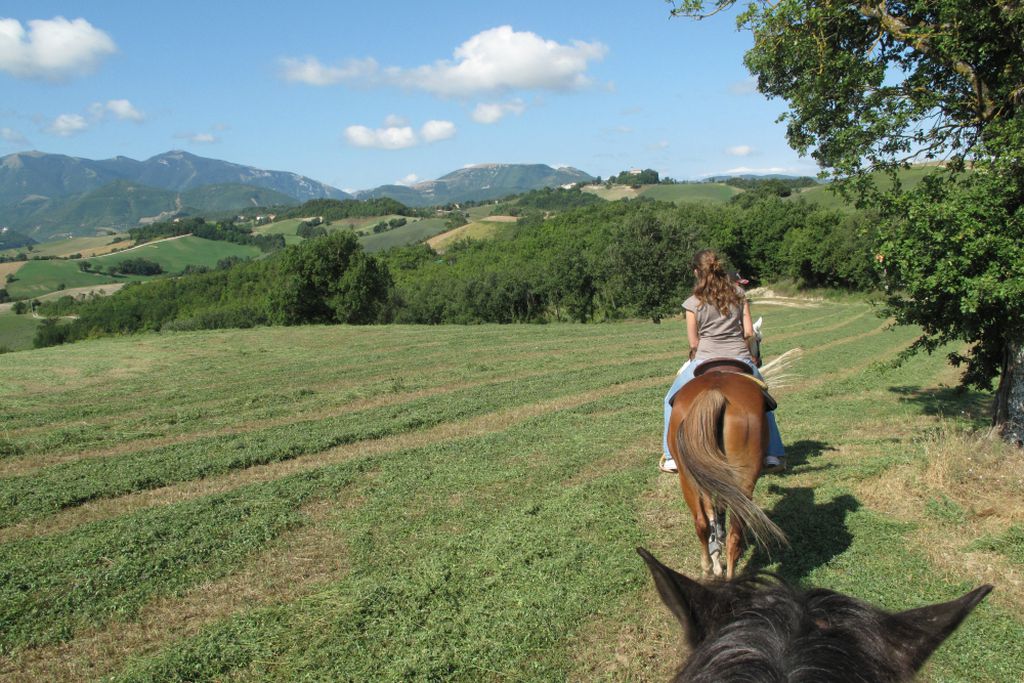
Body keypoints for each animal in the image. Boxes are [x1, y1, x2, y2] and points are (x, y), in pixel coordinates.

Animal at [667, 366, 786, 581]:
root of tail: (715, 391)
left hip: (688, 477)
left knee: (702, 523)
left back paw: (710, 568)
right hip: (742, 480)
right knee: (733, 533)